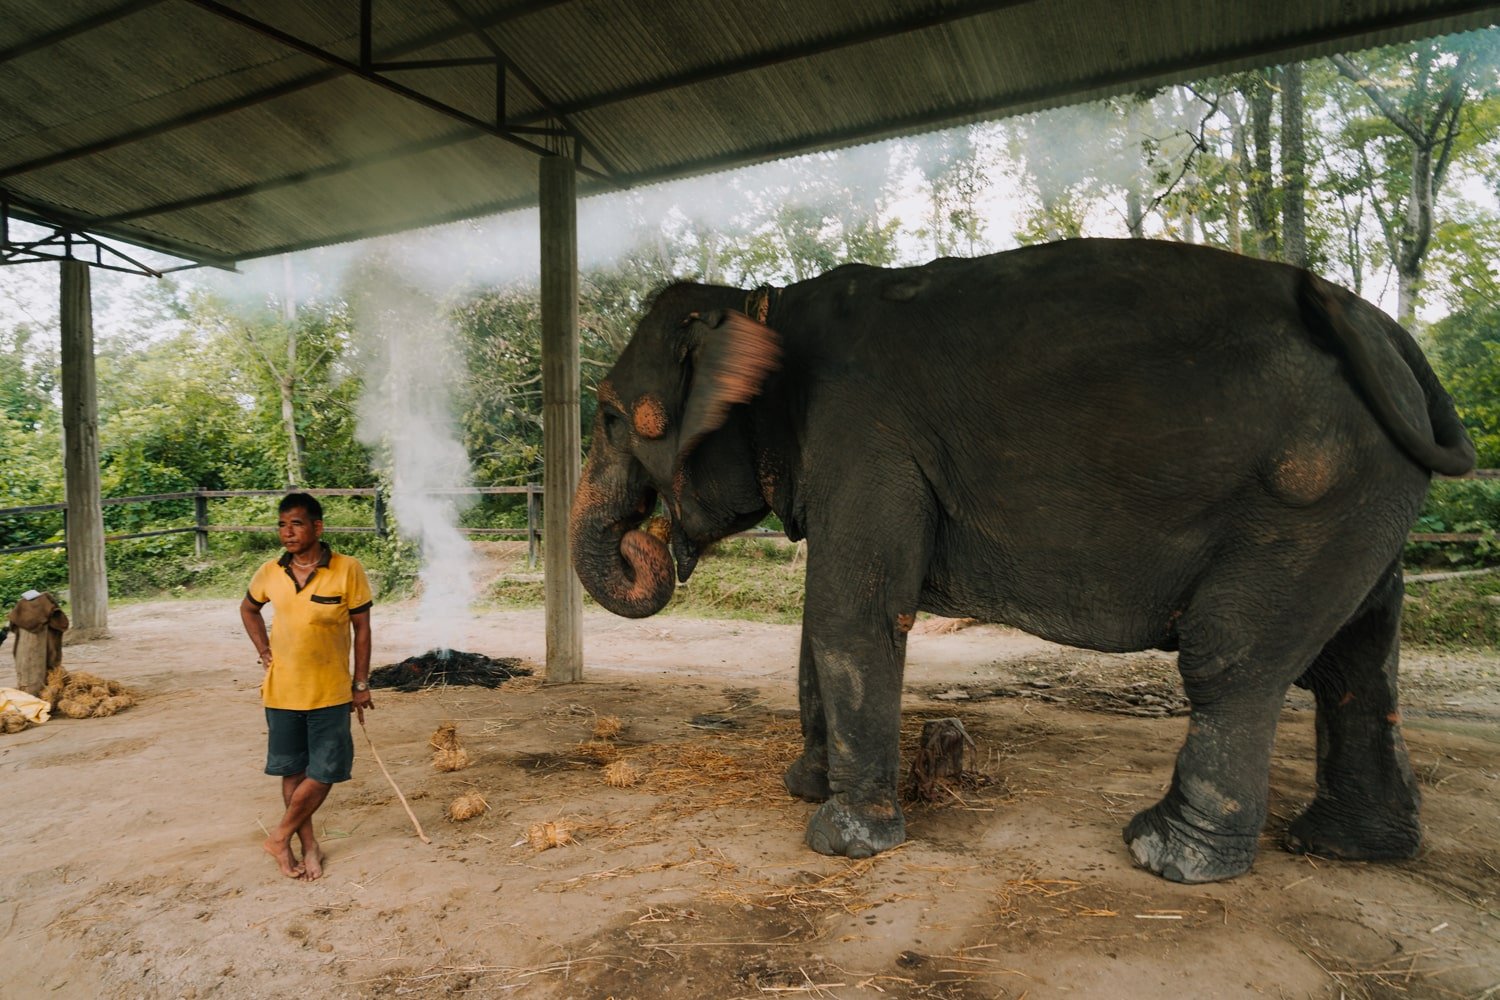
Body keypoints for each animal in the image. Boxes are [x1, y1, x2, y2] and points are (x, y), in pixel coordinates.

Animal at [567, 239, 1470, 881]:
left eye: (610, 416)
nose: (646, 541)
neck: (765, 306)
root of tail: (1390, 336)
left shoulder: (867, 441)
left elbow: (850, 612)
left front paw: (841, 840)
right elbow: (823, 623)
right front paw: (805, 788)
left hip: (1308, 495)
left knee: (1231, 658)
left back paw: (1167, 855)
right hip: (1361, 503)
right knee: (1360, 658)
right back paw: (1347, 849)